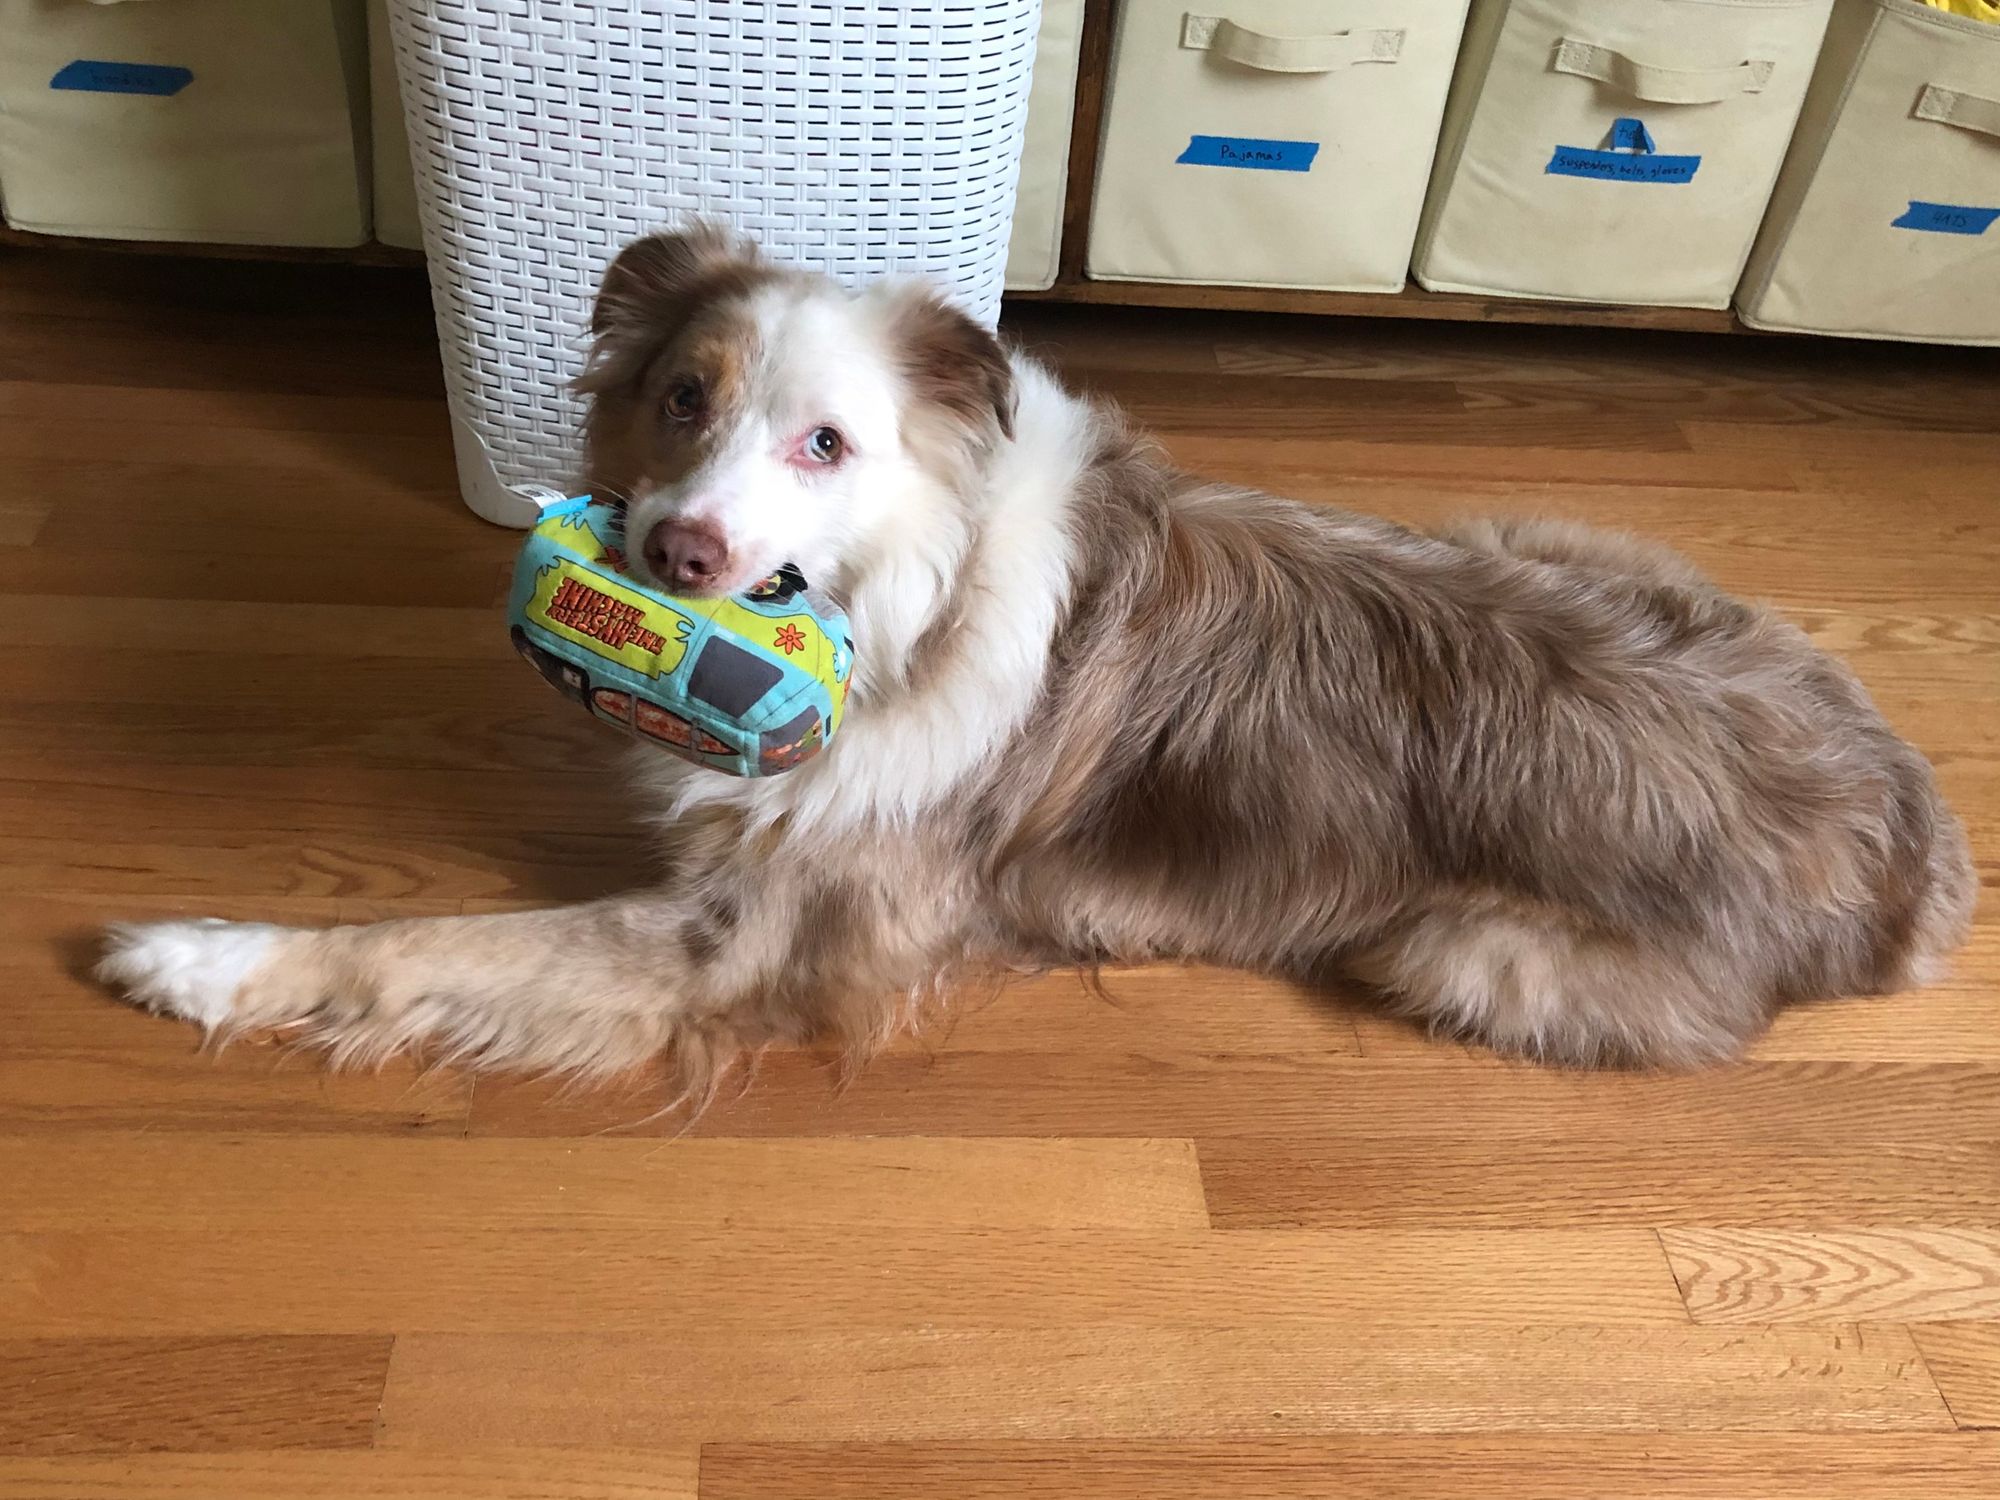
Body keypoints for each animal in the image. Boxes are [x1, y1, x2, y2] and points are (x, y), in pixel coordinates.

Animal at [94, 226, 1968, 1104]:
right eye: (683, 398)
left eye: (827, 444)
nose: (676, 558)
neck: (904, 606)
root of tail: (1916, 839)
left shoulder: (744, 940)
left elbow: (419, 938)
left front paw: (202, 954)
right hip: (1549, 531)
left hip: (1456, 950)